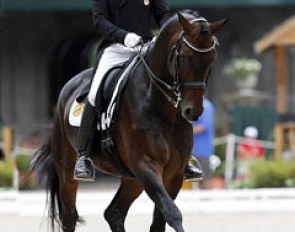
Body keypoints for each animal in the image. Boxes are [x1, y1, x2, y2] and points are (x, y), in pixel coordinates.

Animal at [31, 10, 227, 232]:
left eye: (212, 58)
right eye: (184, 57)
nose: (192, 111)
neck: (161, 108)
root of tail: (69, 85)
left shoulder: (174, 173)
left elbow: (160, 221)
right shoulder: (145, 166)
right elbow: (173, 214)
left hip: (132, 179)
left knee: (114, 213)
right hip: (67, 170)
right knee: (70, 216)